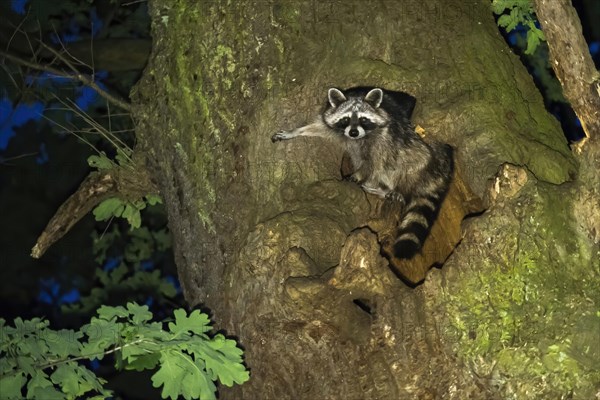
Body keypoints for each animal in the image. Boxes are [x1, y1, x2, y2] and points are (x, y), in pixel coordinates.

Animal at [270, 86, 450, 260]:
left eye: (364, 119)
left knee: (402, 160)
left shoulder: (384, 135)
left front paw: (358, 176)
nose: (353, 133)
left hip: (420, 158)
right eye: (346, 119)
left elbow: (374, 162)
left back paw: (394, 189)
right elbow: (319, 127)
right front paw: (295, 131)